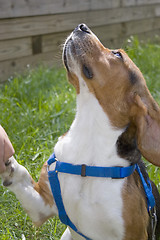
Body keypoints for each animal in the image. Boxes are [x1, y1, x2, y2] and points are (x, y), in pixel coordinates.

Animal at [0, 23, 160, 240]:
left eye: (118, 54)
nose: (81, 26)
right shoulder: (42, 205)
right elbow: (22, 175)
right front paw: (7, 164)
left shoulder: (134, 233)